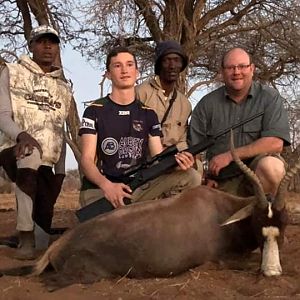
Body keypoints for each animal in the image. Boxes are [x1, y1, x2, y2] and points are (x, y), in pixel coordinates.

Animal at [1, 139, 298, 290]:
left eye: (283, 222)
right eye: (258, 221)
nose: (272, 272)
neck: (220, 211)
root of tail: (59, 245)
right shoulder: (221, 260)